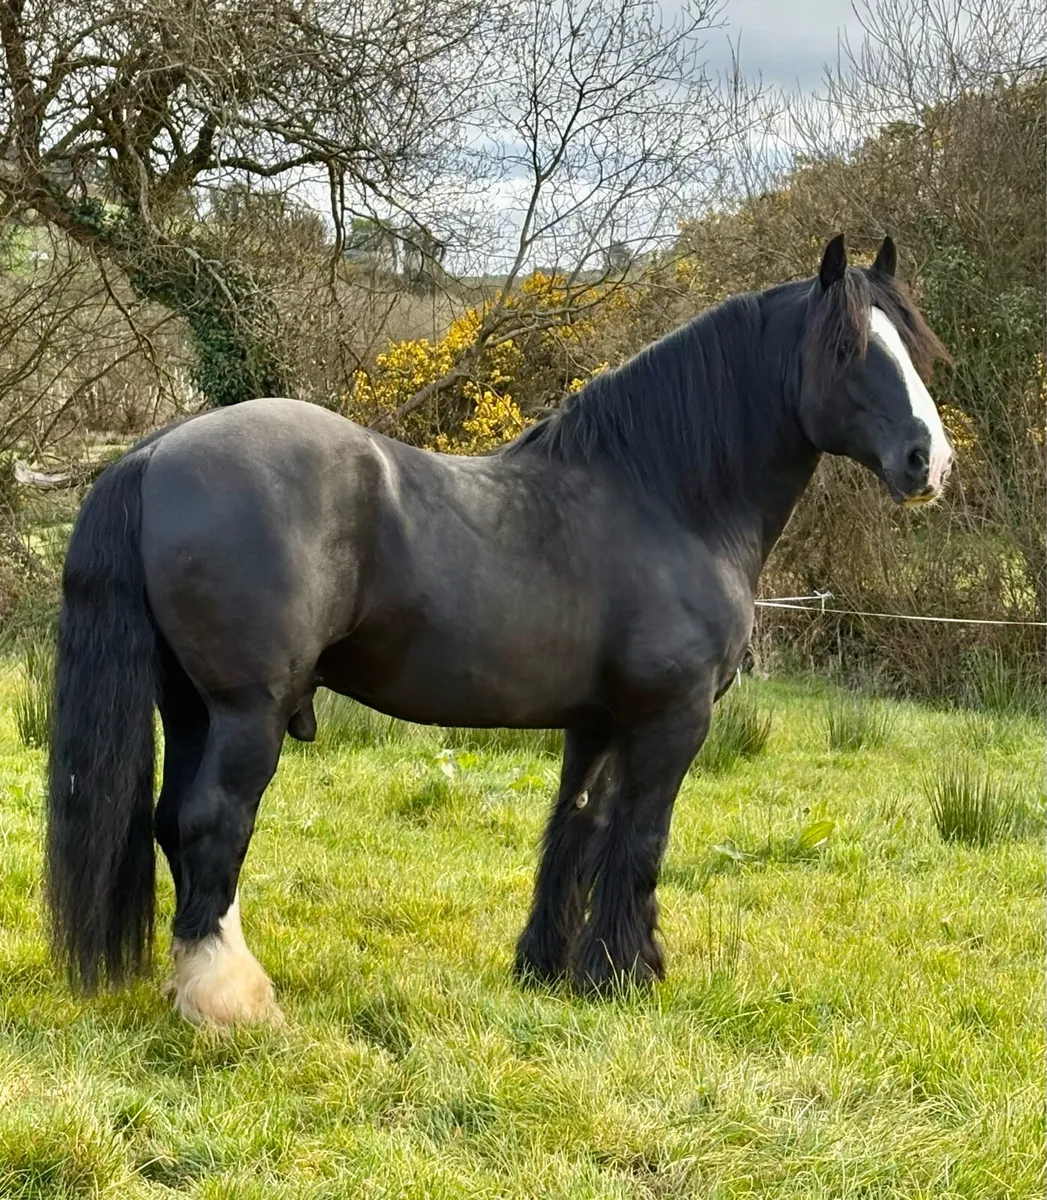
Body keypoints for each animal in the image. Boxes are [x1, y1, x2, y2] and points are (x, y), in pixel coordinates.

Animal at [46, 234, 952, 1025]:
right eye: (847, 349)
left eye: (910, 345)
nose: (927, 461)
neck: (664, 498)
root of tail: (154, 452)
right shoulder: (672, 720)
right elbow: (641, 840)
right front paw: (625, 975)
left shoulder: (597, 724)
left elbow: (575, 828)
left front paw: (551, 968)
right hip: (245, 712)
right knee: (213, 823)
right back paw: (231, 1002)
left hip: (190, 708)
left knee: (173, 823)